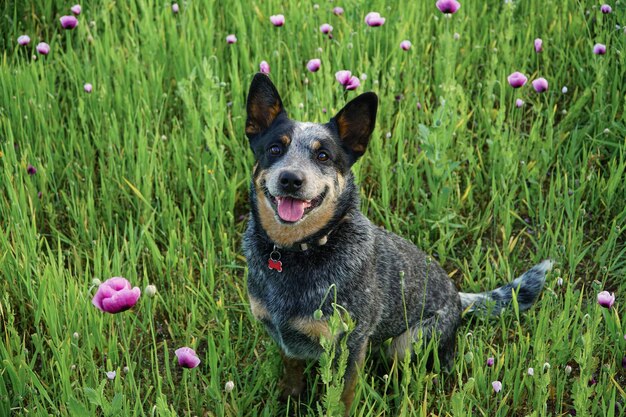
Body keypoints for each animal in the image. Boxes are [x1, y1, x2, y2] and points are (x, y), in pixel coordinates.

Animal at [243, 72, 552, 412]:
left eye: (323, 155)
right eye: (275, 149)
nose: (290, 179)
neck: (298, 251)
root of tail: (458, 298)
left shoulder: (351, 342)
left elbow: (344, 395)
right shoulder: (279, 332)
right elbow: (291, 369)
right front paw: (288, 398)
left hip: (407, 342)